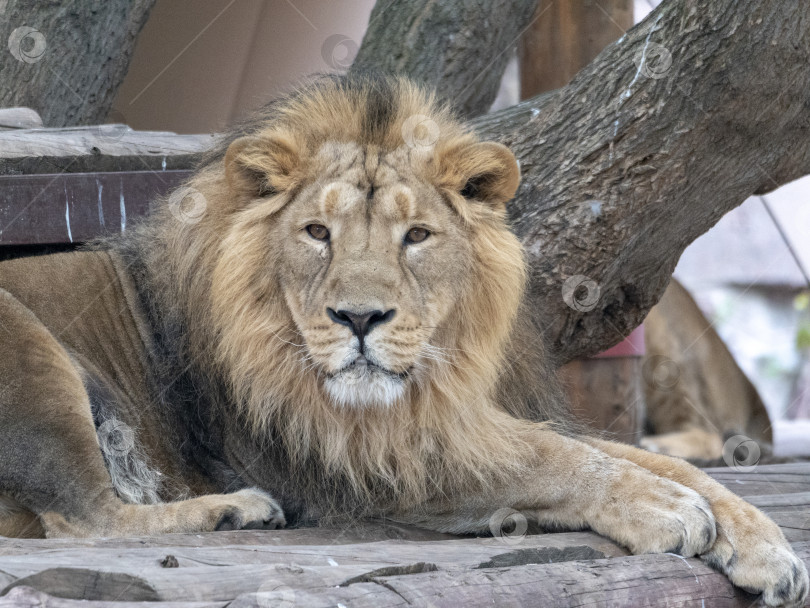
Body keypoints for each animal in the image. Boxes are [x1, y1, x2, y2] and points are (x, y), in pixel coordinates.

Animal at [0, 75, 800, 604]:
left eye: (416, 236)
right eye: (316, 233)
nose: (359, 319)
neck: (425, 385)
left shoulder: (467, 417)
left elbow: (647, 459)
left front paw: (766, 546)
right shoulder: (363, 460)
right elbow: (555, 461)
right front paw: (666, 510)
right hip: (32, 349)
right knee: (84, 522)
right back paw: (233, 508)